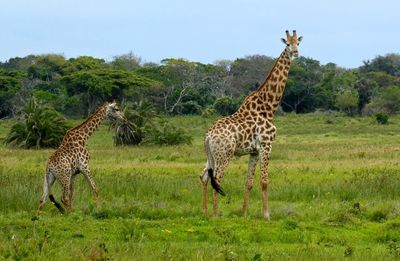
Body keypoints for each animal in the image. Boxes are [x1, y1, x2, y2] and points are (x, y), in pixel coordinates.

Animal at [200, 29, 304, 218]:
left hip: (211, 155)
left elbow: (248, 183)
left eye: (298, 43)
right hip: (224, 155)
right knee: (216, 180)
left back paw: (204, 211)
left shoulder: (254, 151)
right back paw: (216, 215)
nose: (295, 53)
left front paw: (244, 213)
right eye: (287, 44)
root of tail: (207, 136)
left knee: (204, 177)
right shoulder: (266, 145)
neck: (269, 106)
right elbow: (264, 181)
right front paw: (266, 215)